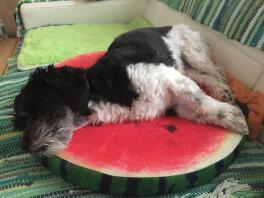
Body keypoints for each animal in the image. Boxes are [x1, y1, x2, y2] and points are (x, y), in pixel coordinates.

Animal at [13, 24, 250, 155]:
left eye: (29, 112)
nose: (24, 146)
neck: (100, 91)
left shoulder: (170, 78)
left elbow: (202, 103)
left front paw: (234, 116)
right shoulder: (177, 103)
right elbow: (201, 111)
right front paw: (229, 117)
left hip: (194, 53)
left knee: (217, 71)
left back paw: (224, 90)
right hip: (186, 66)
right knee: (201, 76)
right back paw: (221, 91)